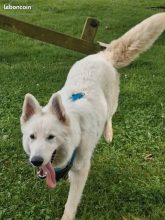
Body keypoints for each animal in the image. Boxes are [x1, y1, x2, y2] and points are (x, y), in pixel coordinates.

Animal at [20, 13, 165, 220]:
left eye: (51, 137)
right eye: (32, 137)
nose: (36, 161)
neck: (76, 130)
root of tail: (102, 55)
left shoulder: (82, 170)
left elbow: (71, 201)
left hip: (112, 103)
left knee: (109, 117)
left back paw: (108, 134)